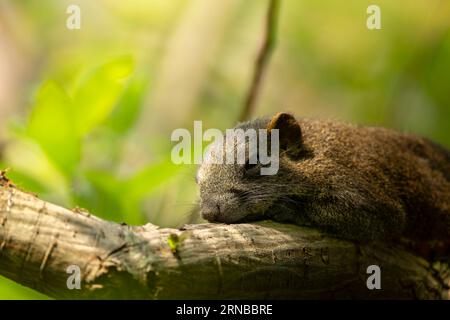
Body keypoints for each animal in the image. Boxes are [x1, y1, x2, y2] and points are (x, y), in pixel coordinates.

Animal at [198, 112, 450, 258]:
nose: (209, 212)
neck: (319, 152)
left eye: (252, 164)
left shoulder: (374, 202)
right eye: (198, 179)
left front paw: (287, 209)